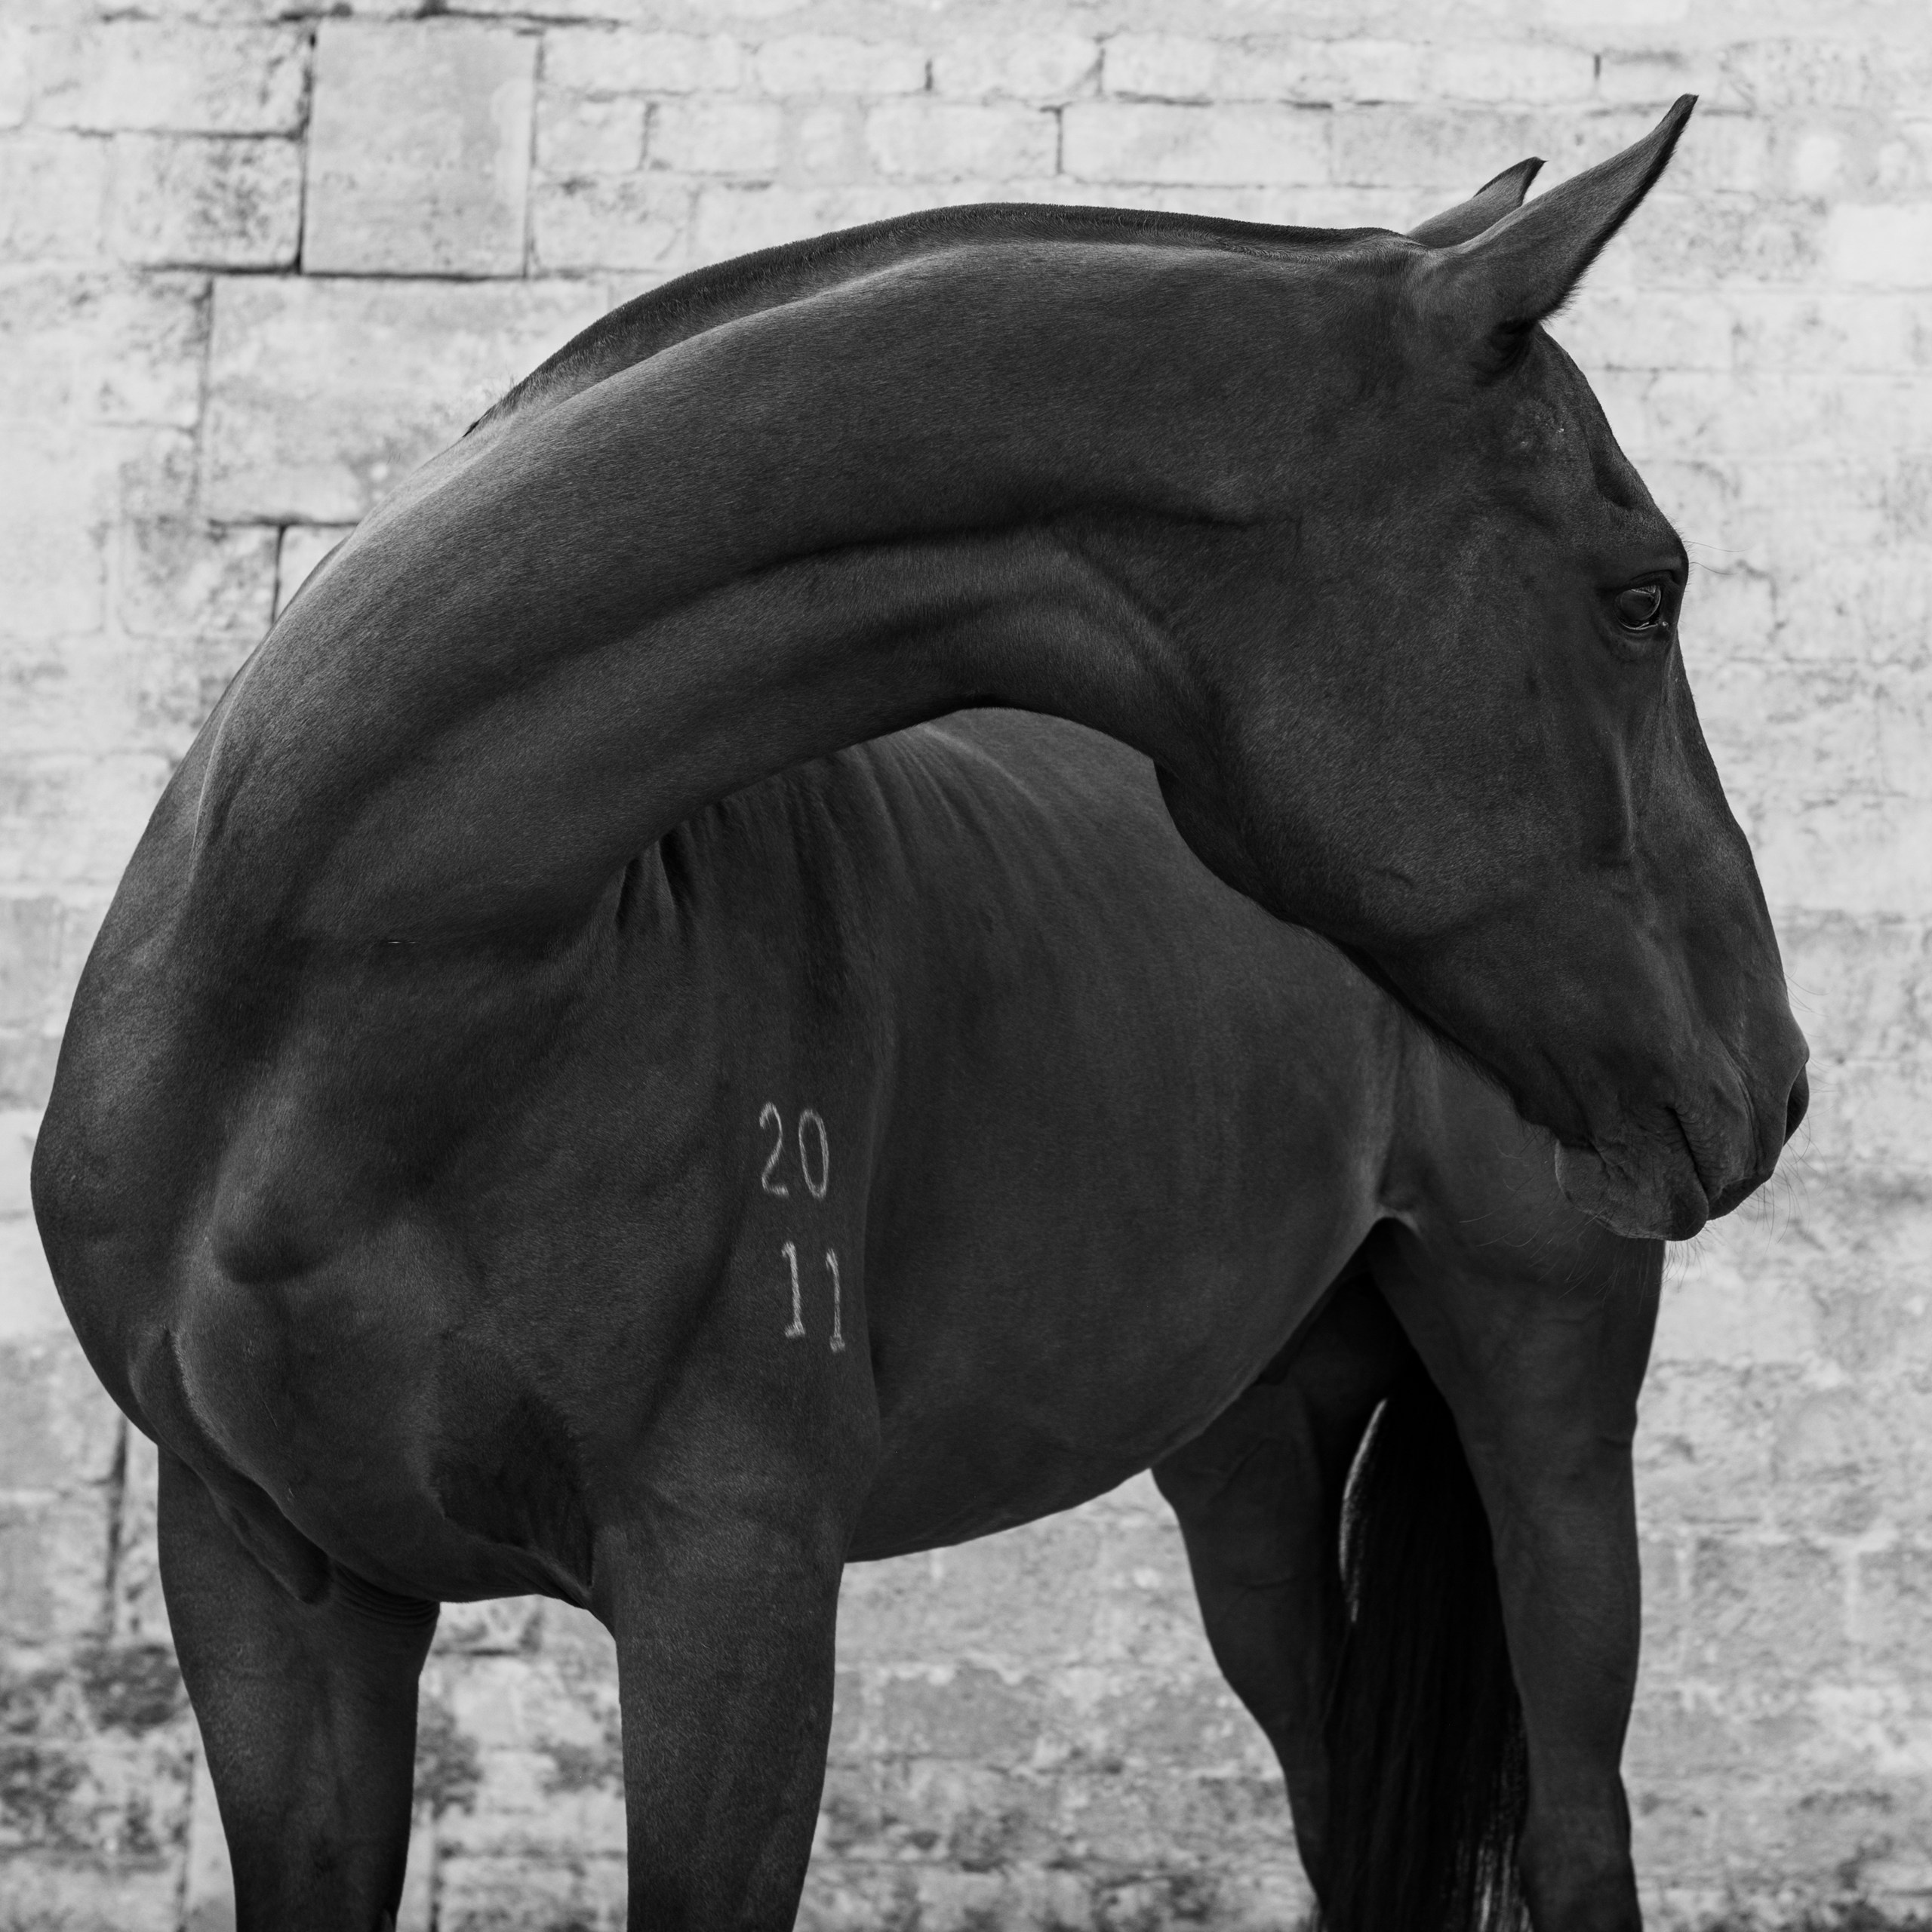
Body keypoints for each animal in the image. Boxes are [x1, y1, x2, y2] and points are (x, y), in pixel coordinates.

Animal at [29, 99, 1801, 1932]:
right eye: (1644, 593)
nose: (1775, 1074)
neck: (338, 984)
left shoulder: (731, 1590)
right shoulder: (270, 1586)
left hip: (1547, 1421)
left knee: (1580, 1823)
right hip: (1251, 1456)